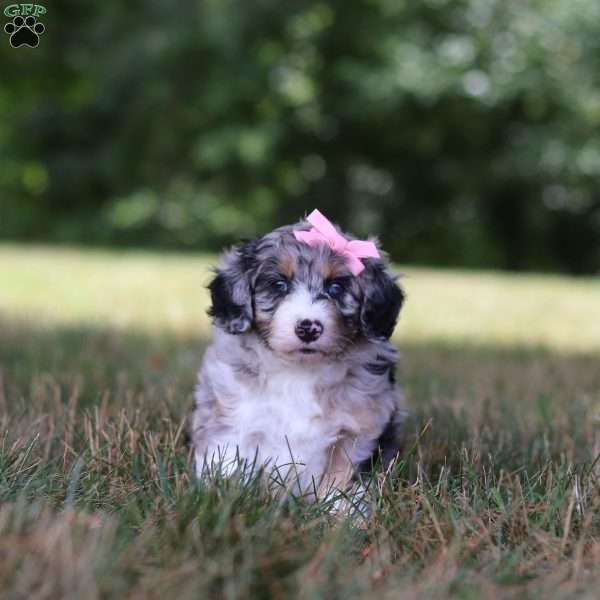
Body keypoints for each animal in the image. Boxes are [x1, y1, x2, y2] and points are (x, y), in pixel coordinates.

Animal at [190, 209, 406, 500]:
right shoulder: (229, 414)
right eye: (279, 284)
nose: (308, 327)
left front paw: (340, 508)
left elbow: (341, 476)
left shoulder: (360, 430)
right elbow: (225, 458)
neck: (300, 370)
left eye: (336, 287)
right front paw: (221, 495)